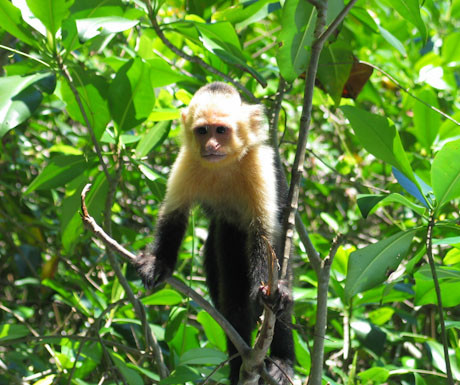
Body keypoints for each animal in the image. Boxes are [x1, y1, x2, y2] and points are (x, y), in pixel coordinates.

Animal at [137, 82, 294, 382]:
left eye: (221, 130)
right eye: (202, 131)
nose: (210, 145)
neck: (224, 165)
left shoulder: (259, 162)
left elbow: (263, 233)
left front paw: (268, 291)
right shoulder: (187, 160)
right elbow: (174, 215)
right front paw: (157, 263)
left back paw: (282, 360)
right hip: (224, 237)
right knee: (231, 297)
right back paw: (239, 364)